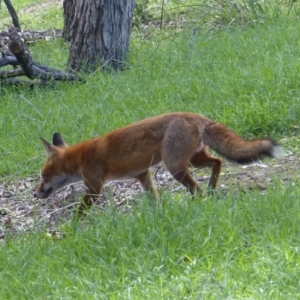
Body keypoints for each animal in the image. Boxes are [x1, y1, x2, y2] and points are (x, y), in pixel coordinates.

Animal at [34, 112, 282, 213]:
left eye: (43, 176)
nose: (35, 194)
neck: (81, 157)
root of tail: (192, 115)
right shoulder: (142, 174)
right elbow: (154, 198)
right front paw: (158, 214)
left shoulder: (94, 188)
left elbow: (79, 212)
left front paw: (72, 230)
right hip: (194, 161)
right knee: (218, 162)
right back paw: (212, 189)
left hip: (176, 168)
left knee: (198, 190)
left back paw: (200, 202)